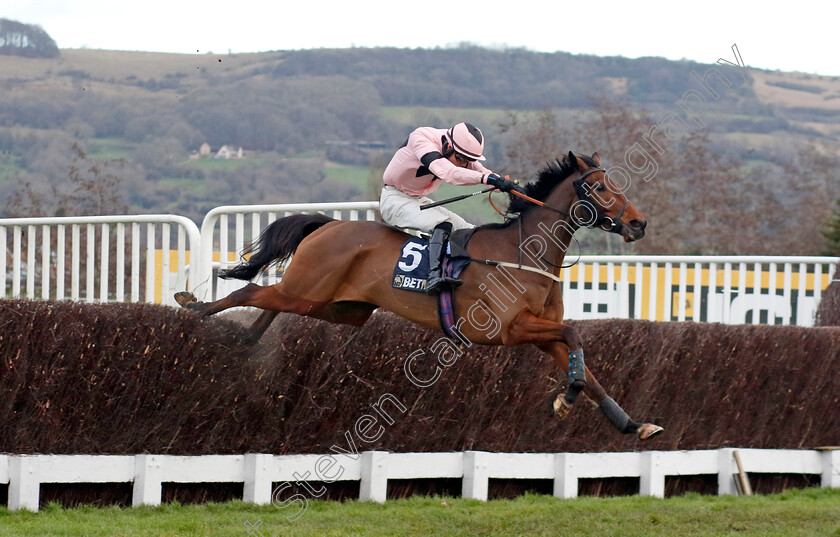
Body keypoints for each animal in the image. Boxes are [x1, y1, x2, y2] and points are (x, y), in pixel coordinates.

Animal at [176, 151, 664, 440]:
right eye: (600, 188)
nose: (638, 223)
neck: (523, 252)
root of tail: (328, 224)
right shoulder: (509, 330)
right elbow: (576, 336)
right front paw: (566, 398)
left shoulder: (541, 332)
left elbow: (585, 364)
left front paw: (634, 424)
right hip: (309, 290)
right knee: (254, 289)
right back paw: (196, 309)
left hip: (337, 307)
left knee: (268, 302)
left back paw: (244, 339)